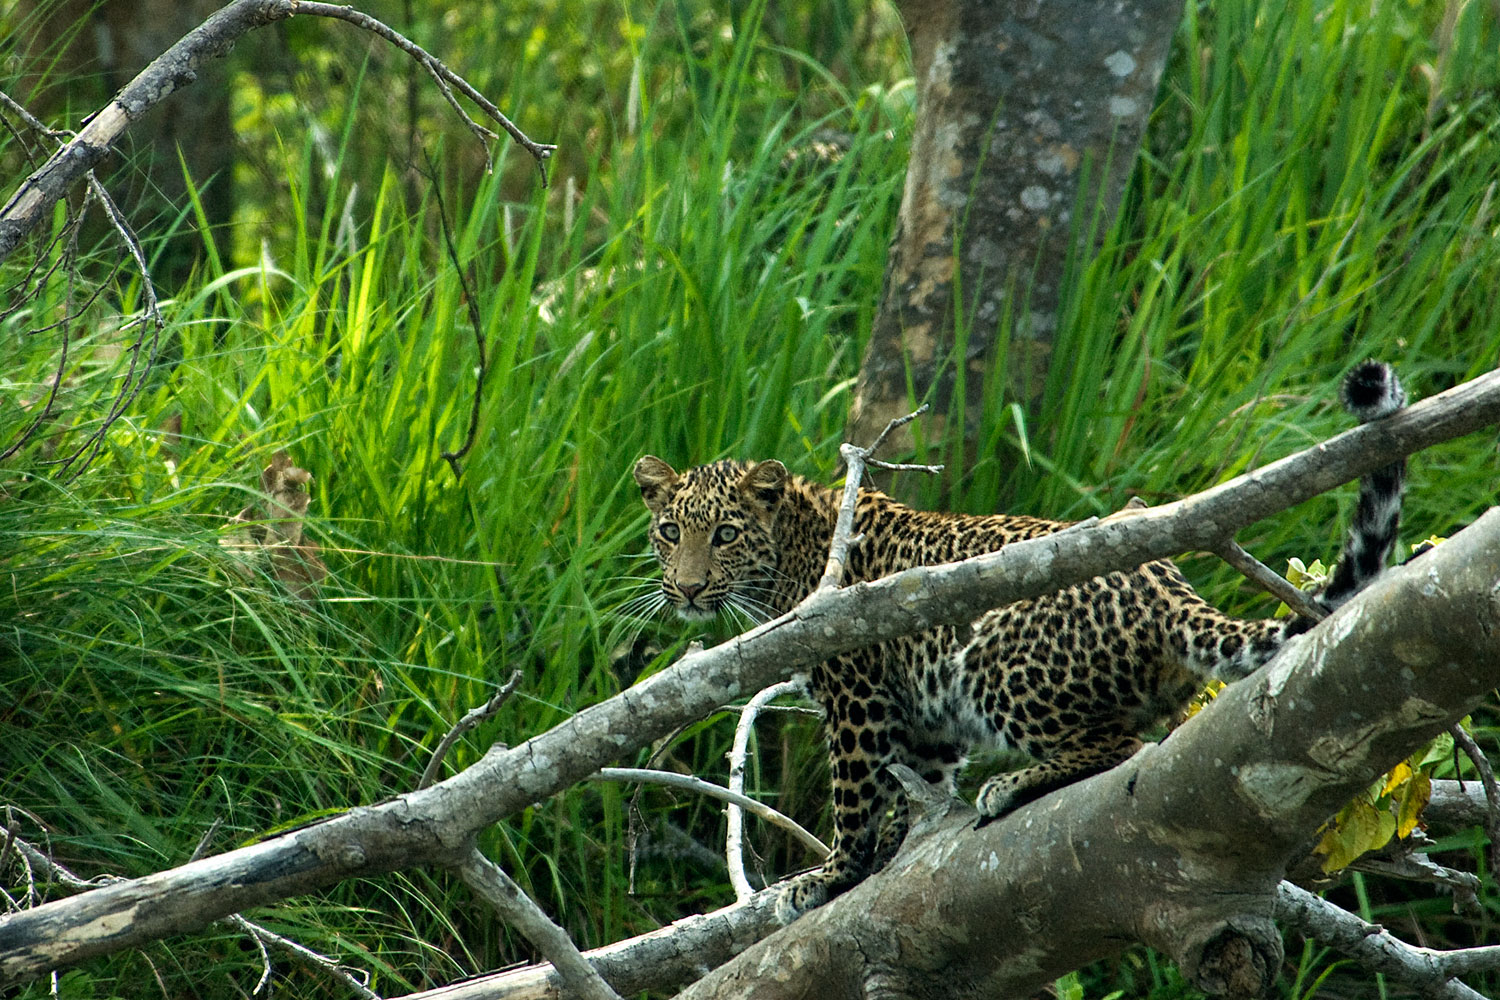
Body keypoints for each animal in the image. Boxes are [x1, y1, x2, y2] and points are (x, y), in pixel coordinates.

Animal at [632, 361, 1408, 925]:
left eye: (725, 534)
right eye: (670, 531)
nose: (688, 589)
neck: (798, 545)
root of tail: (1165, 587)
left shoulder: (856, 693)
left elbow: (854, 797)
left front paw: (829, 876)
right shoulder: (924, 715)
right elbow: (918, 786)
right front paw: (892, 851)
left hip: (996, 661)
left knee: (1121, 746)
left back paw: (1012, 784)